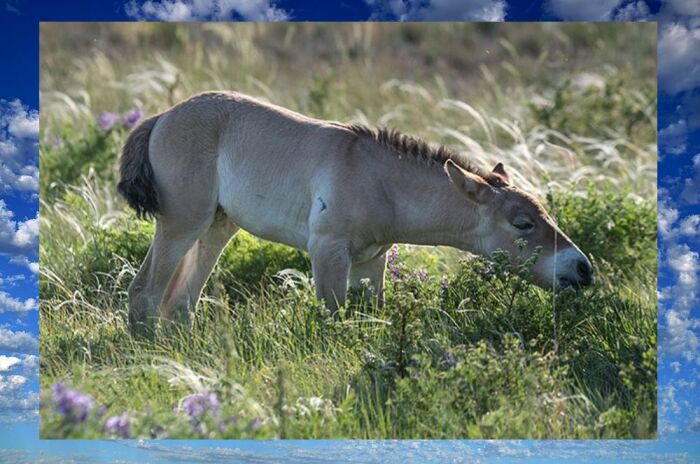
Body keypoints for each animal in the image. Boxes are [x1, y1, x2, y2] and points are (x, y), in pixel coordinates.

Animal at [119, 90, 592, 336]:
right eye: (522, 223)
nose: (582, 268)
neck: (379, 180)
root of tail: (163, 116)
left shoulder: (370, 262)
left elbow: (370, 315)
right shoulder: (328, 251)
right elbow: (333, 317)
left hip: (217, 228)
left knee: (180, 301)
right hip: (182, 223)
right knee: (145, 292)